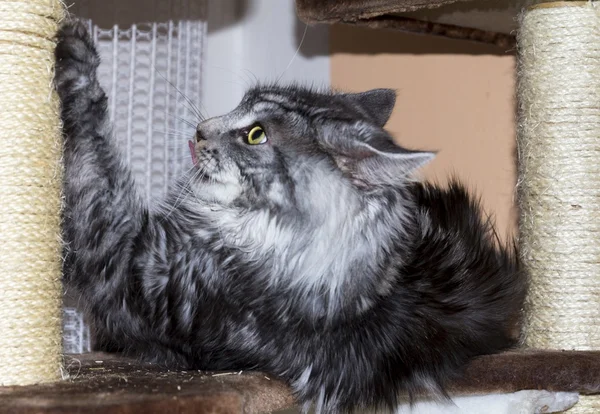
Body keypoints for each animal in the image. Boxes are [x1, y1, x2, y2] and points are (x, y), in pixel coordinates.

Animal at [55, 20, 524, 414]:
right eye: (240, 107)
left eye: (255, 135)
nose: (200, 131)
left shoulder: (131, 265)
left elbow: (90, 152)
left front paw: (73, 50)